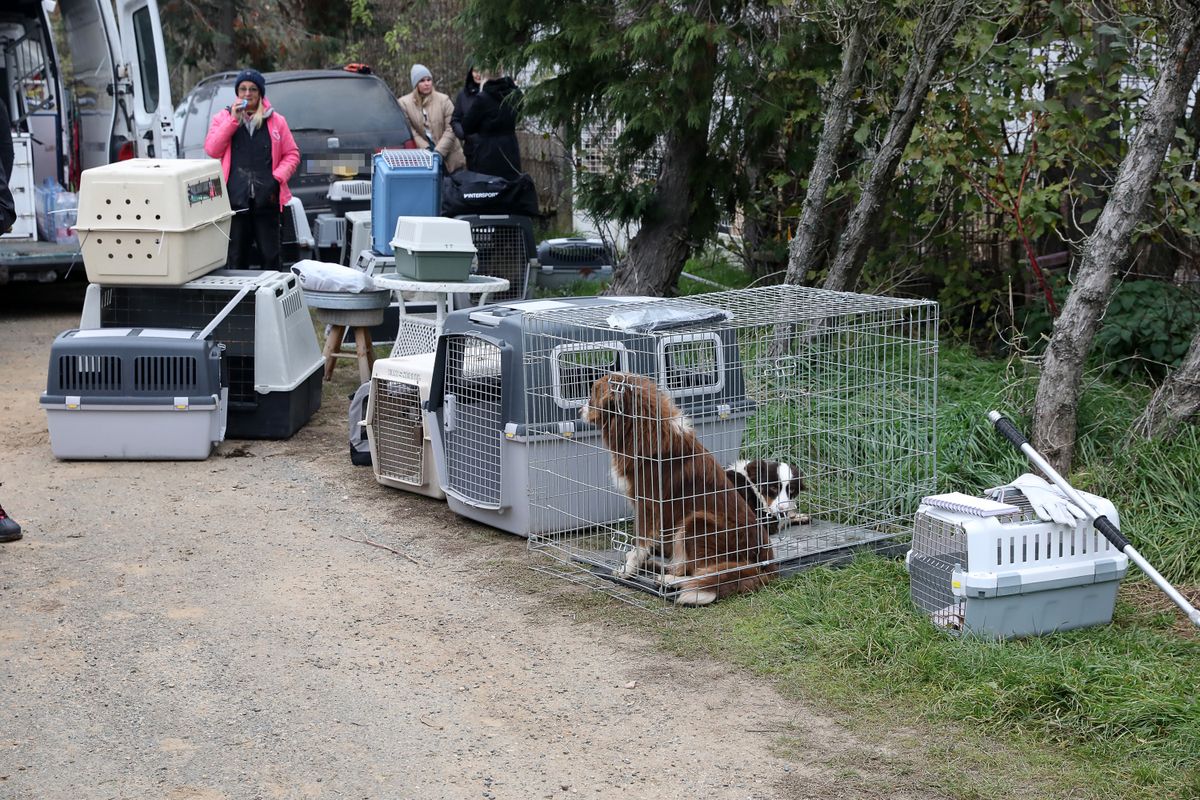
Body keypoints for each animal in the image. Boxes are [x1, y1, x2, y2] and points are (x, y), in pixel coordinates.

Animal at [583, 376, 777, 606]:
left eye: (593, 392)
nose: (581, 408)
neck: (639, 425)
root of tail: (766, 567)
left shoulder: (647, 504)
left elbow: (640, 543)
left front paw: (627, 570)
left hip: (696, 521)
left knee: (699, 571)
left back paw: (670, 580)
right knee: (687, 567)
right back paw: (659, 569)